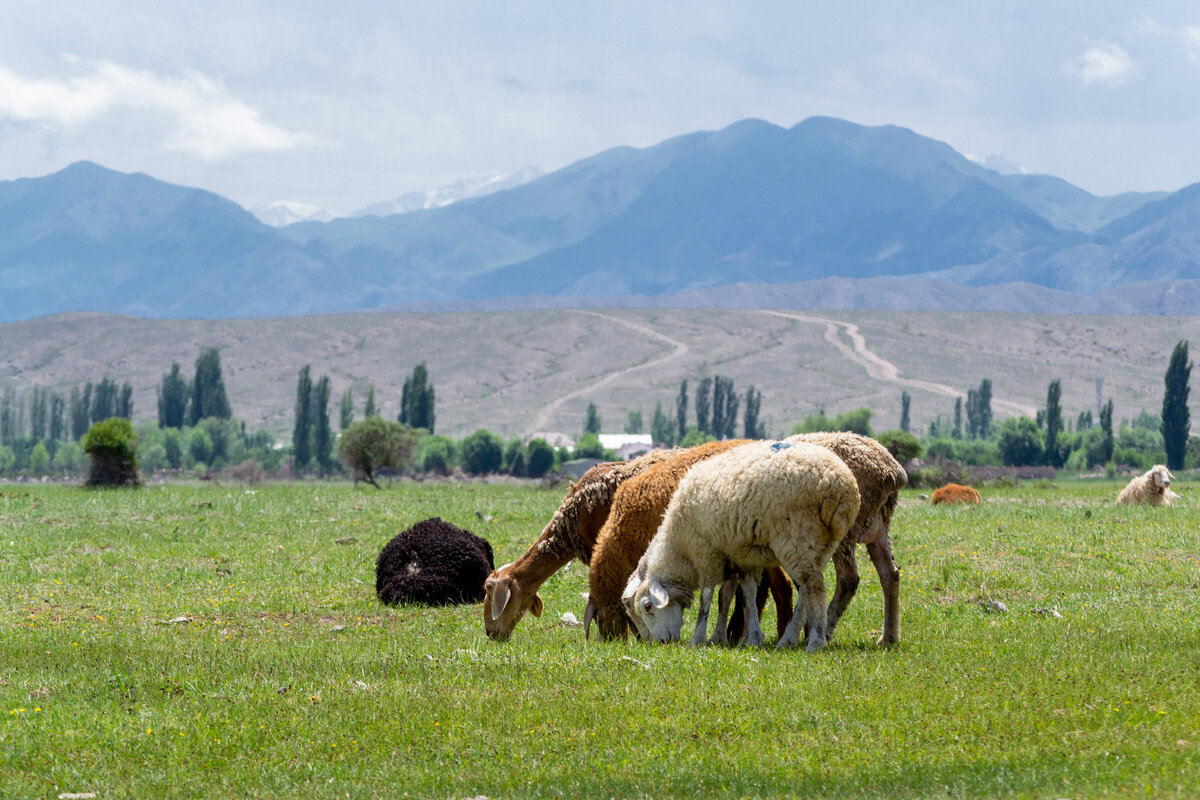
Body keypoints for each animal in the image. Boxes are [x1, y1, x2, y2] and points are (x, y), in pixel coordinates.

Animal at [624, 441, 859, 652]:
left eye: (647, 606)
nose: (661, 643)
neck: (678, 548)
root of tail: (840, 484)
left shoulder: (707, 554)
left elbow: (706, 599)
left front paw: (698, 638)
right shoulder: (742, 555)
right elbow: (745, 595)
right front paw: (751, 638)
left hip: (796, 536)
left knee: (815, 585)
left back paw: (816, 641)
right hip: (824, 543)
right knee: (806, 589)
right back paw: (788, 639)